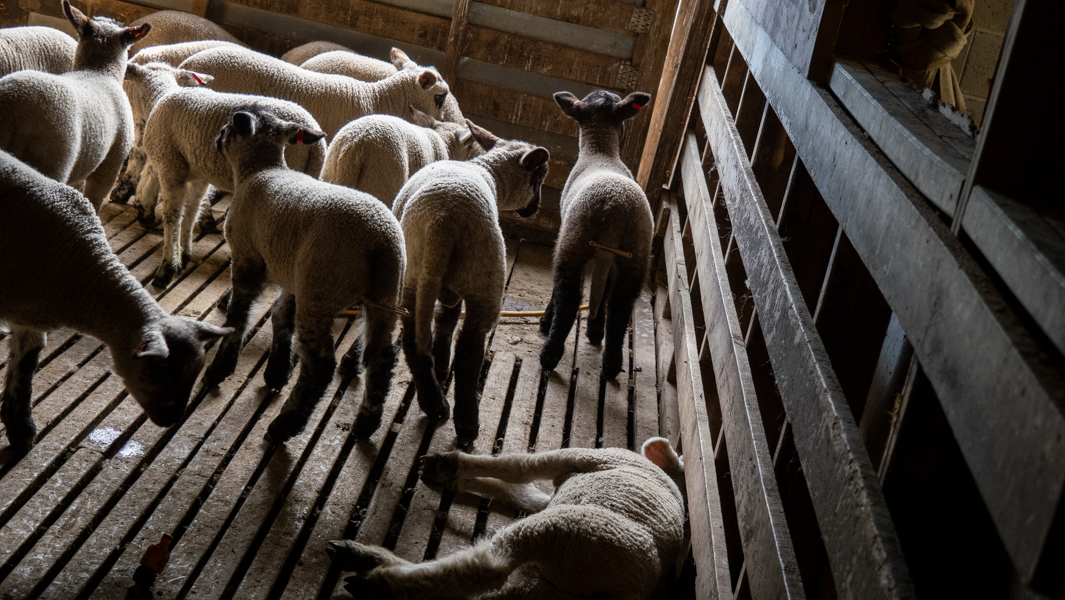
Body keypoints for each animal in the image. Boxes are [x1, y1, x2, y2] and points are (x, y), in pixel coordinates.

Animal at [122, 61, 328, 287]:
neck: (160, 96)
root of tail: (315, 145)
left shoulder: (170, 168)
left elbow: (172, 215)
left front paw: (168, 266)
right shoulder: (199, 176)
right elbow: (192, 211)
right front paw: (184, 253)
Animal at [205, 106, 405, 444]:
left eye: (229, 127)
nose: (217, 136)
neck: (260, 169)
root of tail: (381, 243)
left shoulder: (247, 258)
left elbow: (238, 316)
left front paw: (220, 369)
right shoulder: (291, 275)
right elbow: (280, 317)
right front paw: (276, 372)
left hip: (320, 289)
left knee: (320, 365)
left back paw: (286, 425)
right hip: (383, 296)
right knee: (381, 356)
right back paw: (366, 422)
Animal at [328, 437, 687, 600]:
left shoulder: (582, 458)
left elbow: (517, 467)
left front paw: (448, 466)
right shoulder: (555, 492)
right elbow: (520, 489)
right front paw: (455, 478)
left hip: (567, 531)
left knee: (486, 567)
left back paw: (374, 578)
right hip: (544, 587)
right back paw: (367, 560)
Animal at [391, 123, 547, 443]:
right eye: (540, 177)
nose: (536, 208)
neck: (487, 170)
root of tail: (443, 219)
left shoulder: (445, 287)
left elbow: (444, 320)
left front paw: (440, 363)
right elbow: (452, 325)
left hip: (414, 273)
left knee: (413, 339)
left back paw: (433, 402)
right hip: (485, 279)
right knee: (470, 348)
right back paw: (466, 423)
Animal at [539, 90, 654, 379]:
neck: (600, 151)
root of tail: (615, 206)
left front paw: (546, 321)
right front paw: (594, 330)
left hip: (575, 239)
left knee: (568, 297)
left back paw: (549, 354)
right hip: (636, 253)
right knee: (620, 305)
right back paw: (612, 363)